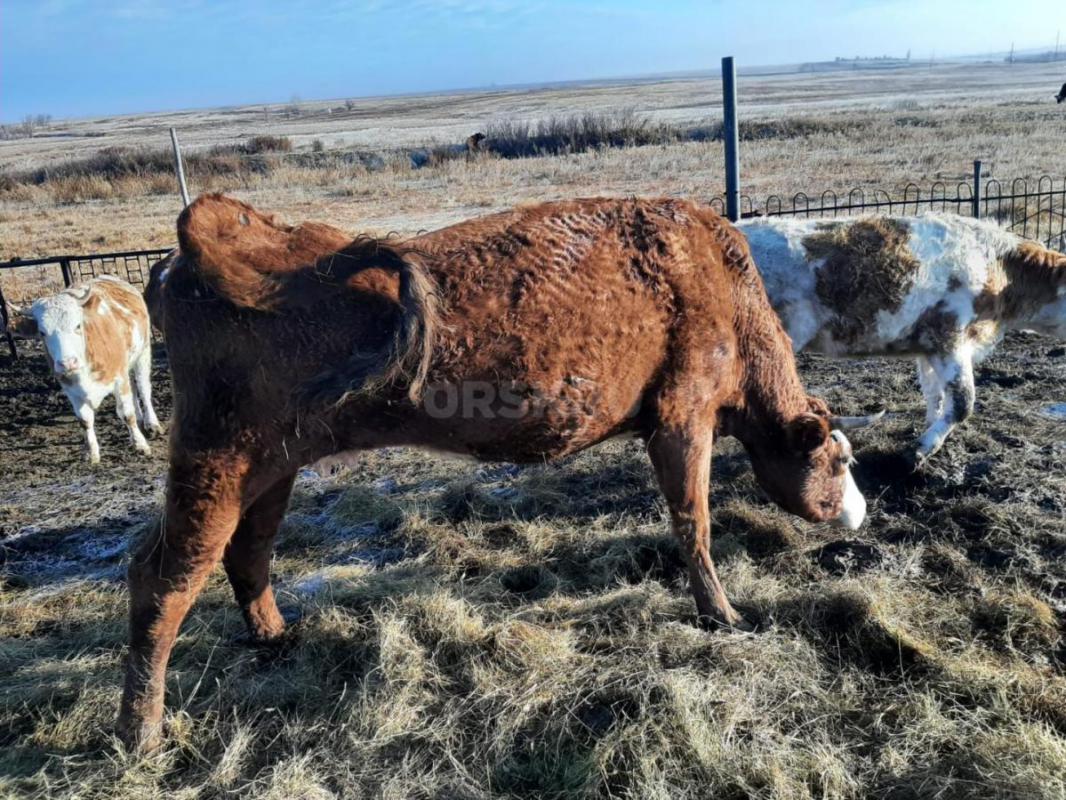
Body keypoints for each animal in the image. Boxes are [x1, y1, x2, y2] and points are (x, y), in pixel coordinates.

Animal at [9, 275, 162, 462]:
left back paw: (152, 424)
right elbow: (85, 420)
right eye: (42, 332)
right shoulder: (70, 389)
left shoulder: (119, 378)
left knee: (143, 389)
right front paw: (91, 453)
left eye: (78, 325)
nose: (67, 363)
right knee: (133, 391)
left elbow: (127, 413)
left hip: (143, 353)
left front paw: (140, 445)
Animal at [118, 194, 865, 750]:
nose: (861, 512)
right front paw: (723, 614)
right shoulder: (683, 418)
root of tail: (200, 242)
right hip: (215, 462)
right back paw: (140, 733)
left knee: (248, 550)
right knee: (164, 576)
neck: (714, 276)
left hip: (271, 466)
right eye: (838, 460)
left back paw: (273, 637)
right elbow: (695, 524)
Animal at [741, 214, 1066, 462]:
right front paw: (922, 450)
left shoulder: (929, 347)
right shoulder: (951, 337)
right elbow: (963, 402)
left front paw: (928, 430)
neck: (997, 267)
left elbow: (936, 395)